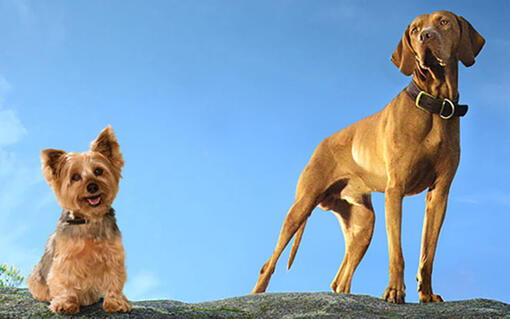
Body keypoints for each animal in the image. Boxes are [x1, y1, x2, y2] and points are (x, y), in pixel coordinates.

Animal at [27, 125, 131, 316]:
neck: (89, 219)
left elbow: (115, 278)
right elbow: (65, 280)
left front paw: (116, 302)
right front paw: (65, 303)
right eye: (75, 177)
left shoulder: (113, 255)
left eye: (98, 171)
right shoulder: (66, 259)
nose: (92, 186)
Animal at [253, 10, 484, 304]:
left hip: (363, 225)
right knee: (268, 264)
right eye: (415, 30)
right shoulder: (395, 190)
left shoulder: (439, 193)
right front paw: (395, 291)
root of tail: (320, 143)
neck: (433, 105)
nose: (426, 36)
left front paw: (426, 294)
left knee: (340, 280)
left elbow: (427, 253)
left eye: (443, 22)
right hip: (301, 205)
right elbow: (397, 251)